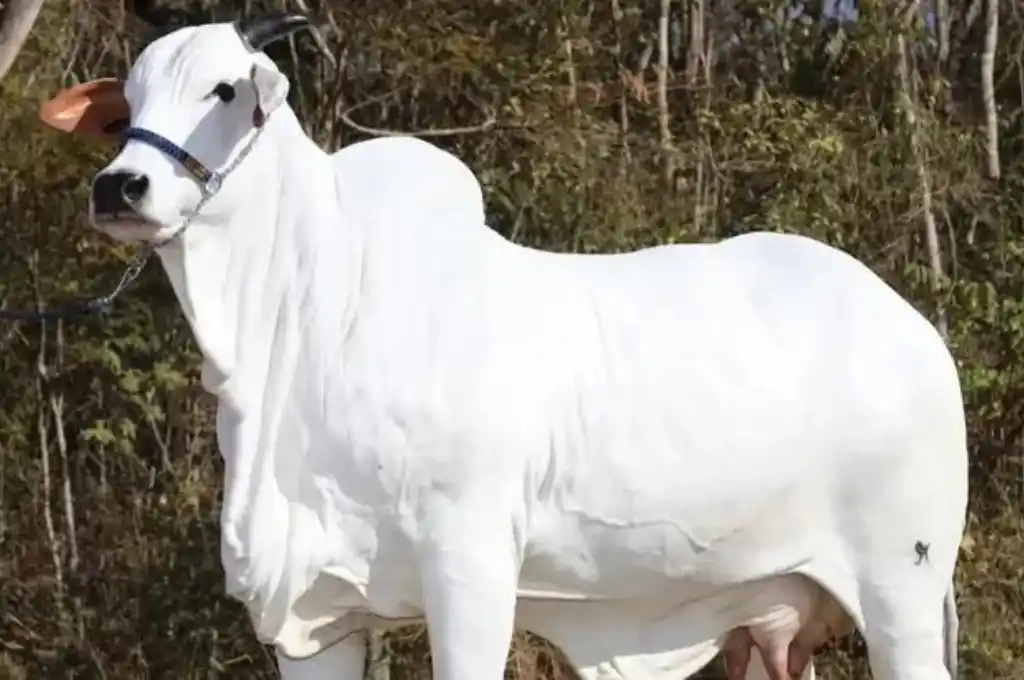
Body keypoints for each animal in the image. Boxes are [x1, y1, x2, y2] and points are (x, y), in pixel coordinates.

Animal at [37, 12, 968, 680]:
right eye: (127, 104)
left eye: (227, 89)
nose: (120, 186)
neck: (298, 326)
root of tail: (915, 328)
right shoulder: (317, 613)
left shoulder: (470, 567)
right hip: (768, 621)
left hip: (903, 592)